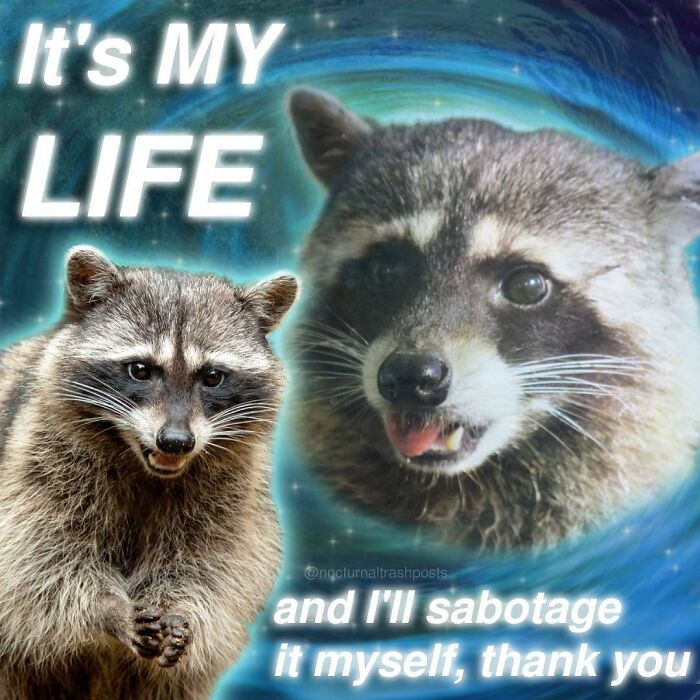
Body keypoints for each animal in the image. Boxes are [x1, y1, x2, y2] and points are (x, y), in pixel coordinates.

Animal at [0, 247, 298, 698]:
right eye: (140, 370)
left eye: (212, 377)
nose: (176, 441)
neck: (145, 465)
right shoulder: (39, 461)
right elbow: (39, 560)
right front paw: (107, 609)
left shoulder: (231, 489)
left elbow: (212, 565)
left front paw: (180, 608)